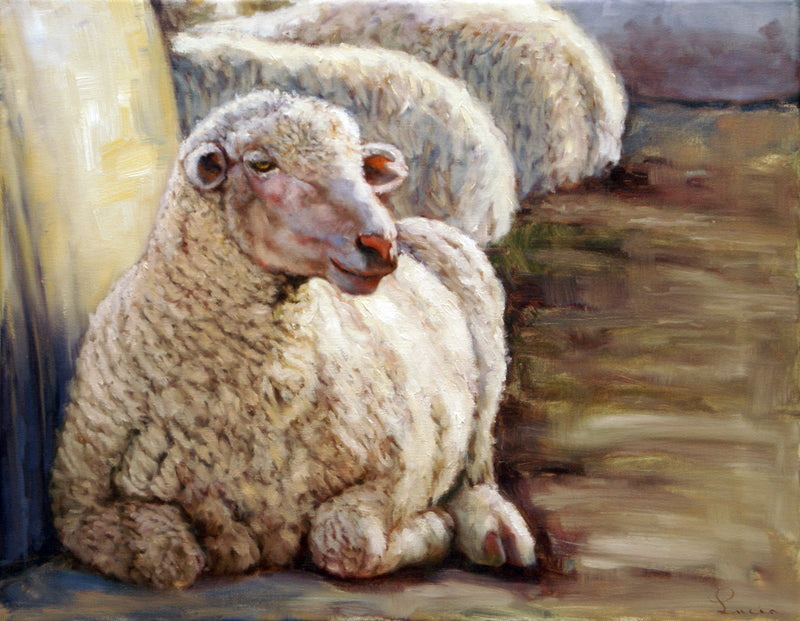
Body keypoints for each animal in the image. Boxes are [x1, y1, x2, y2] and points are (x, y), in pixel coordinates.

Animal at [50, 90, 535, 589]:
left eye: (360, 167)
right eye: (262, 164)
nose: (381, 244)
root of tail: (414, 225)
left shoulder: (404, 469)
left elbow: (346, 540)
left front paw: (435, 528)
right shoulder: (79, 506)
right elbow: (172, 556)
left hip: (486, 333)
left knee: (478, 460)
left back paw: (494, 530)